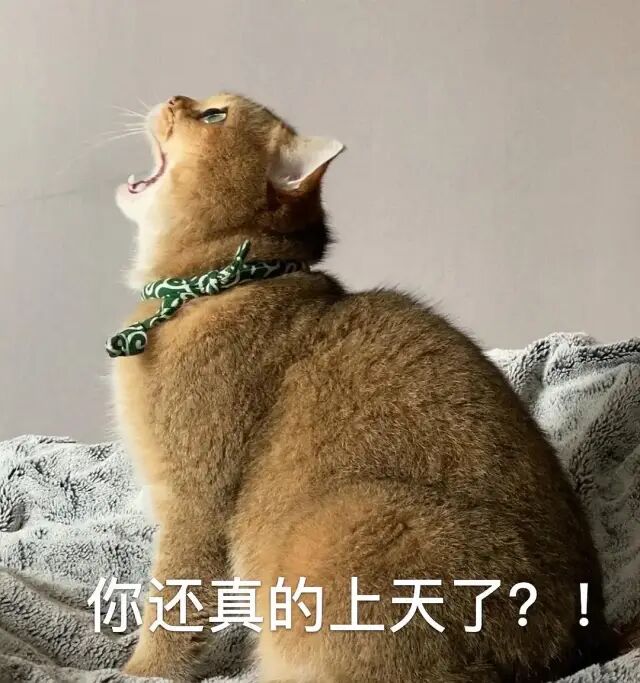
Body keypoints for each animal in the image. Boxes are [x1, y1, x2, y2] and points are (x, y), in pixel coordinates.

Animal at [111, 93, 612, 682]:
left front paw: (140, 670)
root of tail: (571, 651)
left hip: (353, 523)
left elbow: (172, 605)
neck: (223, 284)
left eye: (214, 116)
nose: (175, 97)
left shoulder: (194, 504)